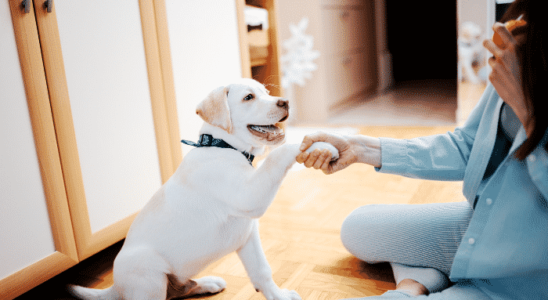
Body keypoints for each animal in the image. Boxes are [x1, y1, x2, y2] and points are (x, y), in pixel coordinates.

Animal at [67, 78, 336, 298]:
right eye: (249, 97)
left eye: (266, 92)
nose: (286, 102)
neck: (222, 146)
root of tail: (115, 288)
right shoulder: (249, 196)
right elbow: (277, 155)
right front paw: (319, 145)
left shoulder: (247, 233)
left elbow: (262, 270)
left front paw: (278, 296)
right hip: (148, 273)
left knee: (178, 291)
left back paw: (206, 283)